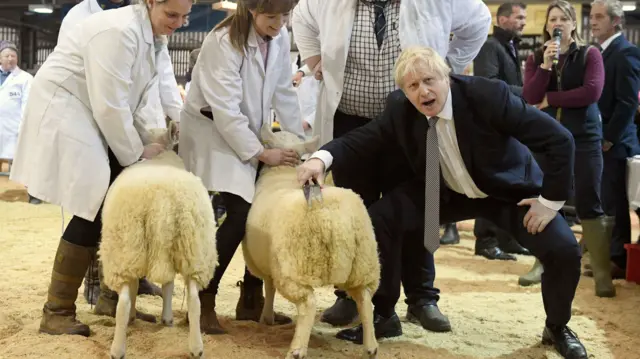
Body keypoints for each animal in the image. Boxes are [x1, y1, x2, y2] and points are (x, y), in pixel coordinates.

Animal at [99, 121, 219, 359]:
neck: (162, 154)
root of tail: (161, 201)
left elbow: (144, 285)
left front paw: (152, 317)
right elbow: (168, 285)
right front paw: (166, 318)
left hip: (125, 247)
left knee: (123, 302)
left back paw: (118, 348)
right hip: (193, 247)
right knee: (194, 300)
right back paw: (196, 348)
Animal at [240, 124, 380, 359]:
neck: (282, 173)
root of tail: (333, 218)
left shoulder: (269, 266)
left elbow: (269, 288)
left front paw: (266, 317)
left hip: (295, 268)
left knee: (308, 304)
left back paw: (296, 350)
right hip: (363, 264)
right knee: (365, 300)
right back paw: (370, 346)